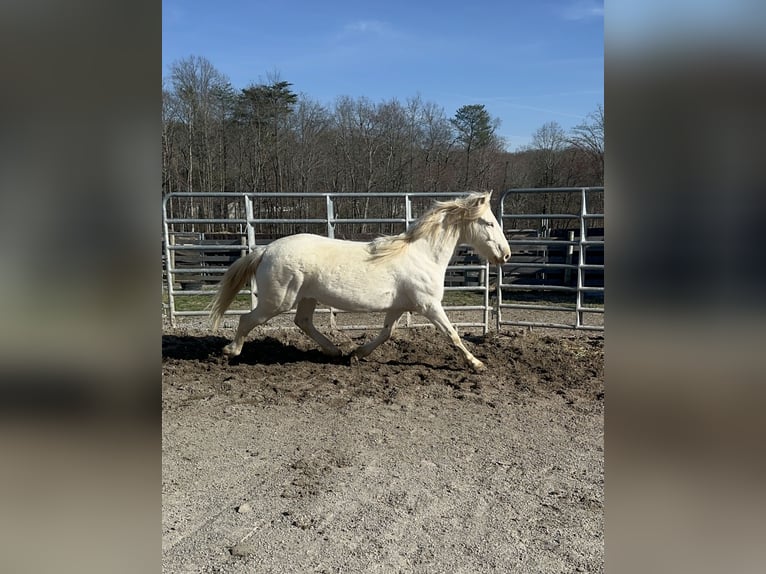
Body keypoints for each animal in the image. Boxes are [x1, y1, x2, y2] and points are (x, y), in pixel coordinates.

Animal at [210, 192, 510, 374]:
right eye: (488, 223)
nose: (505, 255)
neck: (424, 256)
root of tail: (265, 249)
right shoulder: (429, 305)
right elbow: (452, 334)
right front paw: (477, 364)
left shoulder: (398, 307)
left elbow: (386, 332)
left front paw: (357, 354)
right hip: (277, 301)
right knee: (247, 320)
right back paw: (229, 352)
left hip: (306, 298)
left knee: (303, 322)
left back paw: (335, 351)